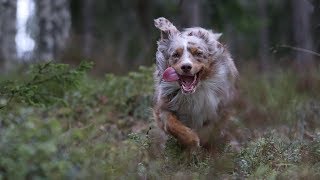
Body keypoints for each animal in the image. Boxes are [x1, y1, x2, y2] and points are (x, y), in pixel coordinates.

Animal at [152, 17, 238, 149]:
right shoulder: (165, 105)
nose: (186, 66)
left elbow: (209, 130)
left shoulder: (220, 108)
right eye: (176, 54)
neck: (193, 93)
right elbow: (171, 124)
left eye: (198, 53)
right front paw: (191, 139)